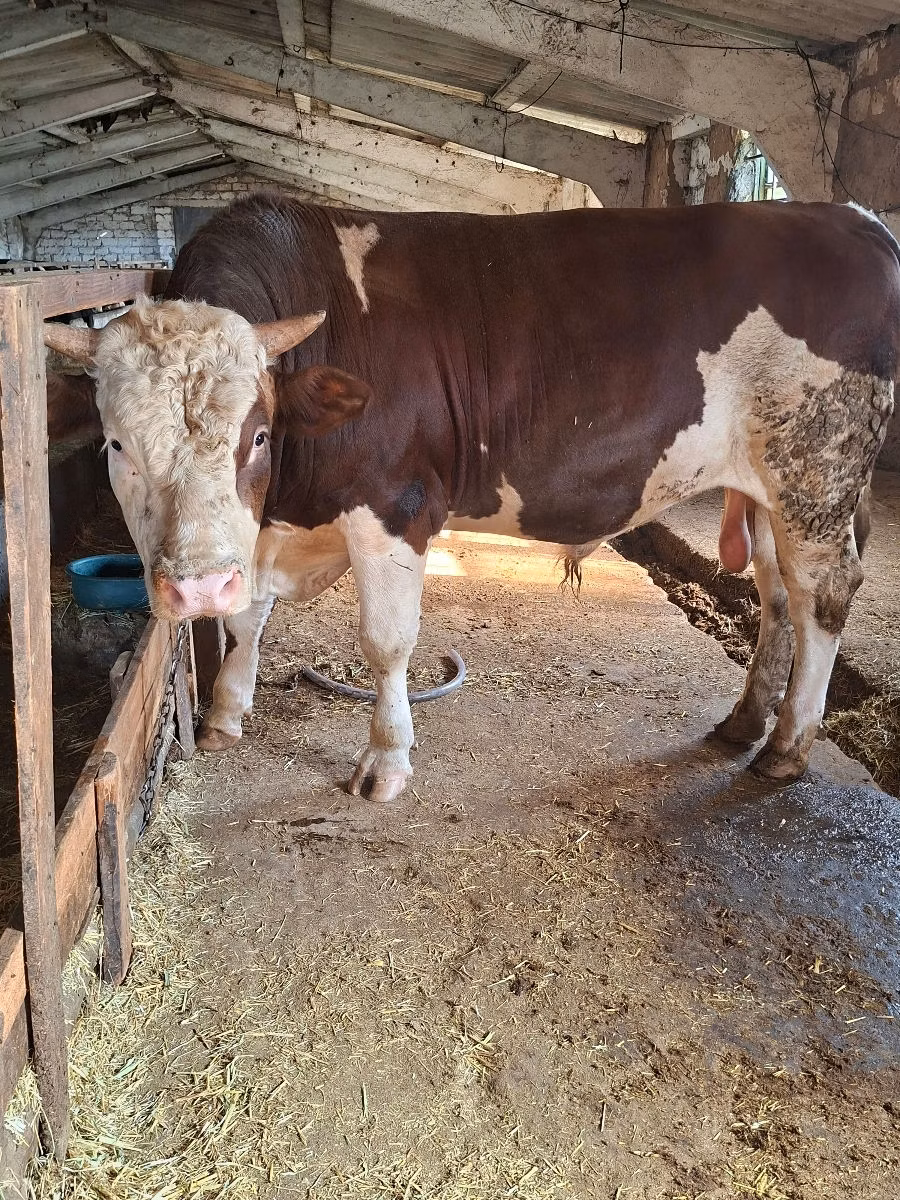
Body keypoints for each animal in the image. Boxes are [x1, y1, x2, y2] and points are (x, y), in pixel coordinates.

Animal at [45, 194, 899, 800]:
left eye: (257, 435)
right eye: (116, 444)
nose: (192, 589)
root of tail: (851, 217)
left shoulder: (396, 505)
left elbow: (385, 643)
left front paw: (386, 761)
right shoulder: (267, 527)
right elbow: (249, 613)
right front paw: (226, 711)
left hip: (816, 472)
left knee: (823, 595)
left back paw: (786, 747)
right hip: (769, 490)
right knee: (776, 596)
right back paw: (743, 722)